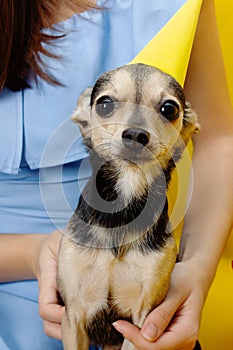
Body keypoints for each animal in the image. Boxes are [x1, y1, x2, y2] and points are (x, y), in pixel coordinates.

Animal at [56, 63, 198, 350]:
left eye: (169, 109)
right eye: (105, 104)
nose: (135, 134)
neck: (123, 208)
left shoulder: (141, 322)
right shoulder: (73, 316)